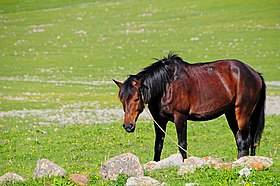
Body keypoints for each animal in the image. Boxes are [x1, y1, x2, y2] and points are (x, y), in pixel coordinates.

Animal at [112, 53, 266, 161]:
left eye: (136, 98)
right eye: (121, 100)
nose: (128, 126)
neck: (166, 86)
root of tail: (255, 74)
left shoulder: (180, 117)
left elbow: (182, 144)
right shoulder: (159, 120)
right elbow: (158, 145)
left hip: (242, 114)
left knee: (245, 140)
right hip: (231, 114)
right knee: (241, 140)